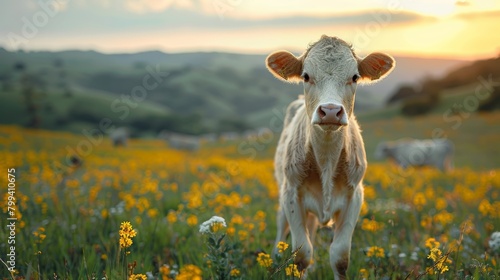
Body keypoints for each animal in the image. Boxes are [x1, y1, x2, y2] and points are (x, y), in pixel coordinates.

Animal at [266, 35, 394, 278]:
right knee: (281, 225)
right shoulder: (291, 194)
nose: (331, 111)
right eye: (306, 76)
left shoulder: (354, 196)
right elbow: (301, 254)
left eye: (354, 77)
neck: (325, 159)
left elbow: (340, 256)